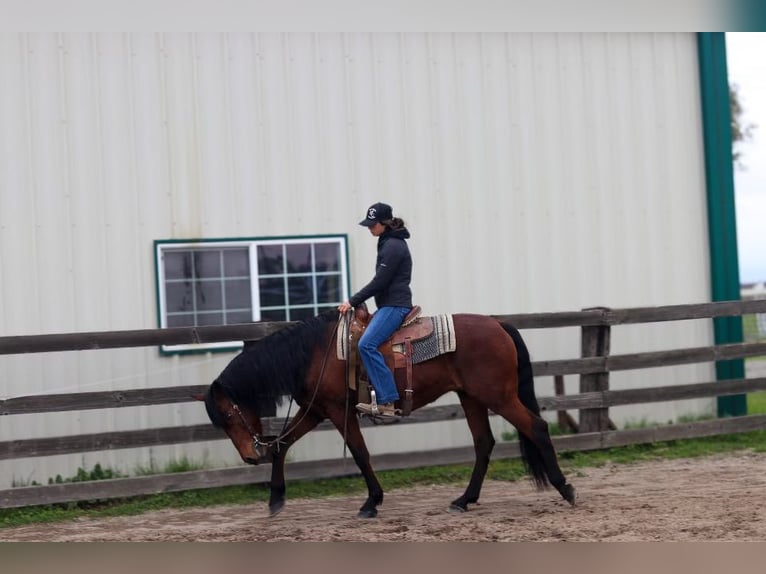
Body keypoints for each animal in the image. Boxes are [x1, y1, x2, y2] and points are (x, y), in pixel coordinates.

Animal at [201, 312, 580, 520]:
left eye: (228, 415)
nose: (250, 456)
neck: (313, 354)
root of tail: (499, 325)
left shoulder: (338, 411)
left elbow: (359, 452)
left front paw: (371, 502)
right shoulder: (316, 411)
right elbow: (282, 446)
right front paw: (276, 499)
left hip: (498, 396)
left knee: (536, 428)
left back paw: (566, 489)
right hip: (472, 397)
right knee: (483, 443)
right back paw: (463, 500)